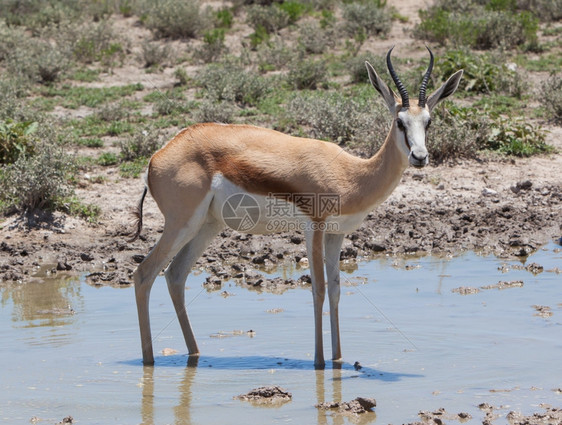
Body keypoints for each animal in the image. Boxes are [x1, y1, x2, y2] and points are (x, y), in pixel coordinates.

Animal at [129, 45, 462, 364]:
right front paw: (319, 362)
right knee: (144, 273)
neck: (350, 174)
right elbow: (319, 289)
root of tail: (156, 157)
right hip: (181, 224)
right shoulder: (314, 227)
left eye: (428, 121)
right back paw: (148, 359)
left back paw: (194, 353)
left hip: (208, 225)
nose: (420, 157)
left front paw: (339, 359)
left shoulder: (337, 233)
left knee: (175, 275)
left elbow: (337, 289)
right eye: (399, 122)